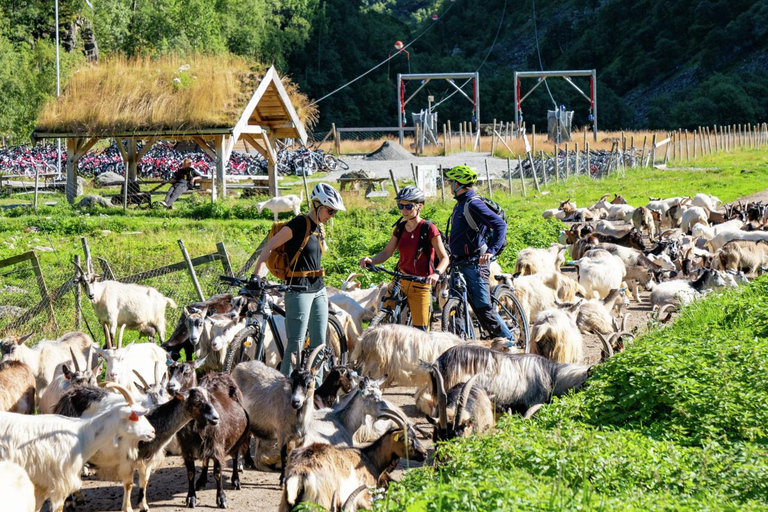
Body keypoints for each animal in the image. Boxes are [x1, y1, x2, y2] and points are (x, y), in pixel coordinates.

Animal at [177, 372, 249, 508]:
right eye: (196, 401)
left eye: (210, 400)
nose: (216, 418)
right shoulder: (187, 450)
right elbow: (190, 473)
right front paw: (191, 498)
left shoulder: (217, 448)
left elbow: (217, 473)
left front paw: (221, 499)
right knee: (206, 460)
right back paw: (201, 481)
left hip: (237, 440)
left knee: (235, 458)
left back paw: (236, 481)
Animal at [280, 410, 426, 512]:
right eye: (406, 438)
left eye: (415, 436)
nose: (424, 454)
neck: (369, 458)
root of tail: (300, 473)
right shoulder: (364, 497)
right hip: (321, 502)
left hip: (287, 503)